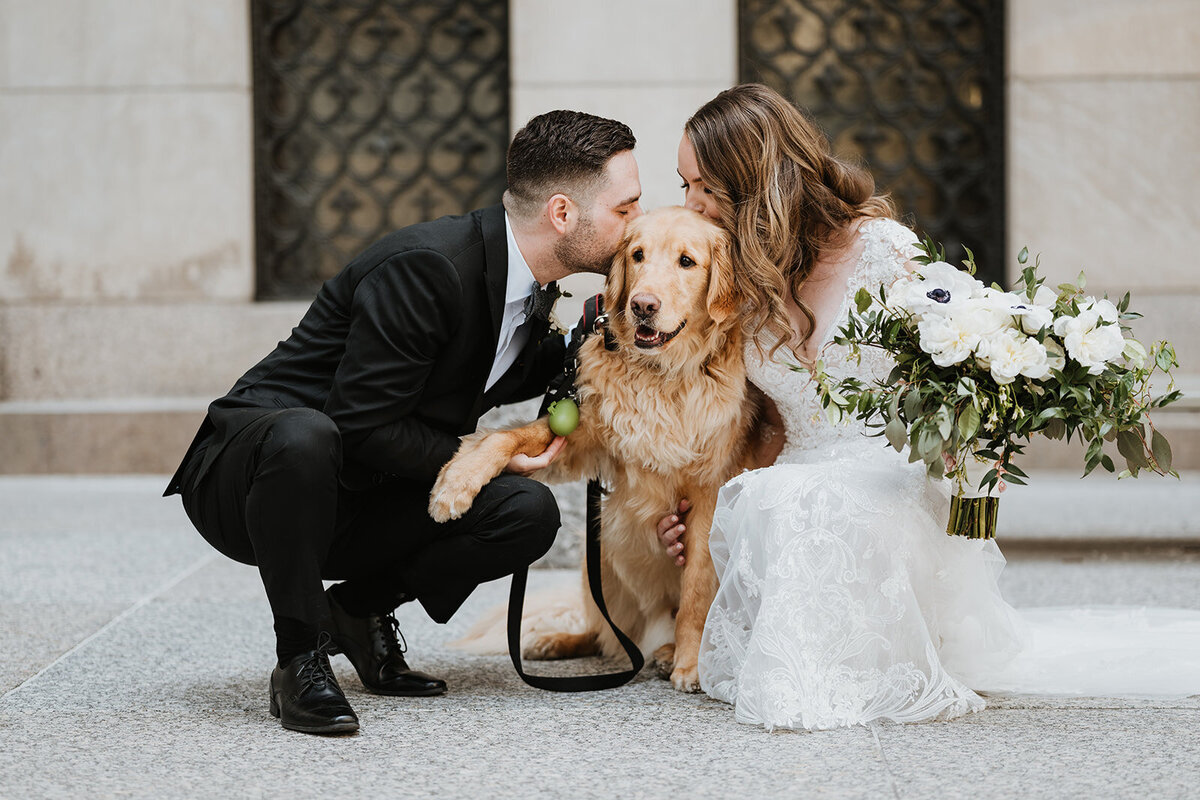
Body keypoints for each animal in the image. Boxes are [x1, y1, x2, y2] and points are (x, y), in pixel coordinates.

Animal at [427, 208, 753, 695]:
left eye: (687, 262)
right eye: (637, 255)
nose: (642, 305)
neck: (660, 375)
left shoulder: (708, 491)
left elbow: (697, 586)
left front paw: (692, 665)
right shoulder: (582, 437)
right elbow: (507, 437)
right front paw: (457, 482)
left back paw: (668, 653)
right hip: (596, 558)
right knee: (604, 635)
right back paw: (561, 642)